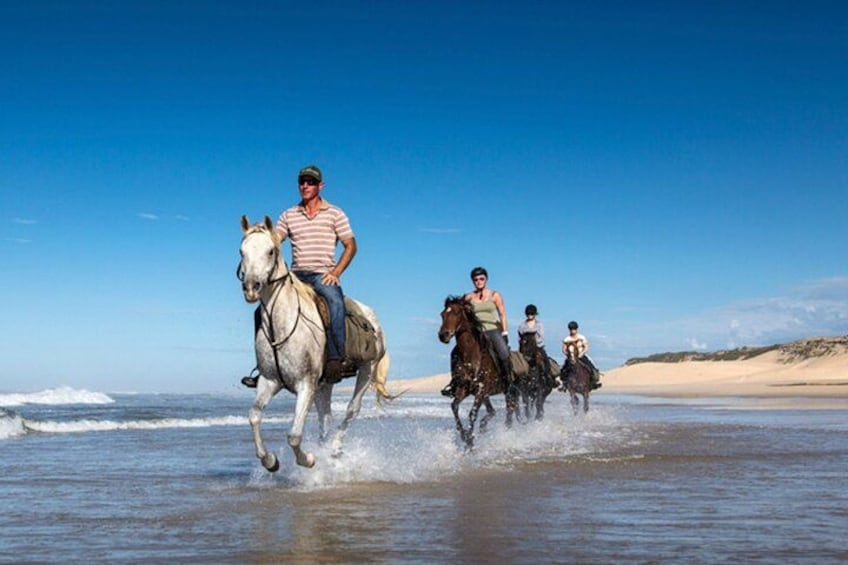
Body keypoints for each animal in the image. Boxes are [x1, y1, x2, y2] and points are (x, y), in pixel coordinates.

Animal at [237, 215, 394, 472]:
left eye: (270, 251)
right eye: (242, 251)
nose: (251, 288)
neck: (282, 323)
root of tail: (373, 319)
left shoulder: (306, 384)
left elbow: (293, 435)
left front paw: (309, 459)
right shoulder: (270, 381)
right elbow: (254, 415)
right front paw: (270, 461)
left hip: (366, 369)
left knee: (352, 410)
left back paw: (334, 450)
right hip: (326, 383)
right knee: (325, 418)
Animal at [438, 296, 518, 448]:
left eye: (456, 313)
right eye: (442, 314)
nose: (443, 335)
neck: (470, 356)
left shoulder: (481, 390)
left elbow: (472, 414)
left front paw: (469, 441)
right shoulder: (464, 389)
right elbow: (454, 407)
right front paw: (464, 436)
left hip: (506, 390)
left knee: (509, 410)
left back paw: (506, 431)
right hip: (486, 395)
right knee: (492, 411)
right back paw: (483, 427)